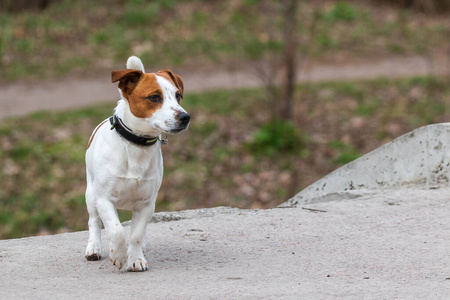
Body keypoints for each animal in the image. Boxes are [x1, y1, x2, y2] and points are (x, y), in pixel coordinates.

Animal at [84, 56, 190, 272]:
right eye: (154, 97)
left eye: (178, 96)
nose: (185, 117)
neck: (136, 146)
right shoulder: (103, 199)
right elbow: (117, 230)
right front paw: (118, 255)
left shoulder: (147, 203)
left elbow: (136, 235)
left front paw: (135, 258)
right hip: (90, 195)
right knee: (94, 221)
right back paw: (94, 247)